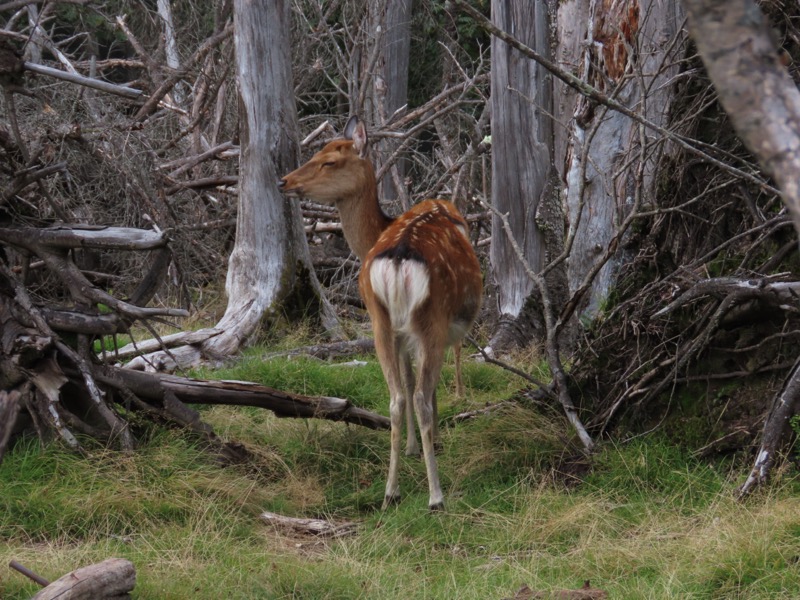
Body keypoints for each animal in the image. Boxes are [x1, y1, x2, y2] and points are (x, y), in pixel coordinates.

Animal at [280, 117, 482, 510]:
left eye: (329, 160)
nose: (284, 181)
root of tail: (399, 257)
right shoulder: (417, 332)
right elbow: (418, 383)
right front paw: (423, 446)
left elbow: (408, 382)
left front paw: (416, 448)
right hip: (427, 319)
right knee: (416, 395)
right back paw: (432, 496)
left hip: (383, 322)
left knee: (398, 398)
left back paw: (396, 492)